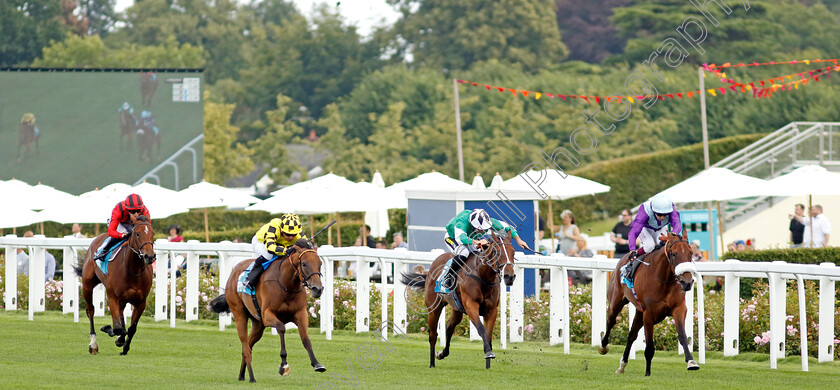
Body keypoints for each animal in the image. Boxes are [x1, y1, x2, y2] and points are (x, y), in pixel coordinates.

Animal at [75, 215, 156, 354]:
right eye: (137, 233)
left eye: (153, 233)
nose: (149, 256)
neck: (133, 271)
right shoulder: (113, 297)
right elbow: (118, 328)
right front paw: (110, 330)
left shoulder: (141, 302)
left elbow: (131, 328)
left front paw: (124, 347)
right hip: (87, 284)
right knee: (90, 310)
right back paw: (93, 344)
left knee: (121, 314)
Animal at [209, 239, 324, 382]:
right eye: (304, 264)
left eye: (320, 263)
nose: (317, 289)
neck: (286, 285)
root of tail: (234, 271)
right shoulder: (267, 315)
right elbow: (281, 328)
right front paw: (284, 365)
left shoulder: (300, 314)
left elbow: (306, 339)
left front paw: (317, 364)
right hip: (239, 314)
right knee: (245, 347)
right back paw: (252, 377)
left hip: (258, 325)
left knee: (248, 346)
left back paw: (242, 375)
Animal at [402, 232, 516, 368]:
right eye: (496, 252)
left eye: (513, 252)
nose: (509, 276)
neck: (482, 275)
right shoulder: (471, 305)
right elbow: (481, 328)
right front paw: (489, 353)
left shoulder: (492, 310)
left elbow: (488, 335)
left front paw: (488, 363)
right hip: (433, 308)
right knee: (433, 335)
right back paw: (432, 363)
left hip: (457, 309)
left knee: (449, 328)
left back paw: (442, 354)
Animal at [596, 233, 704, 376]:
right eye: (674, 254)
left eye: (691, 253)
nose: (686, 282)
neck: (663, 279)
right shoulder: (649, 313)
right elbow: (649, 346)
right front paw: (647, 373)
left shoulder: (679, 308)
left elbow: (682, 336)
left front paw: (691, 362)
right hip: (616, 303)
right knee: (611, 321)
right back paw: (603, 346)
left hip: (639, 312)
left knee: (631, 335)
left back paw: (622, 365)